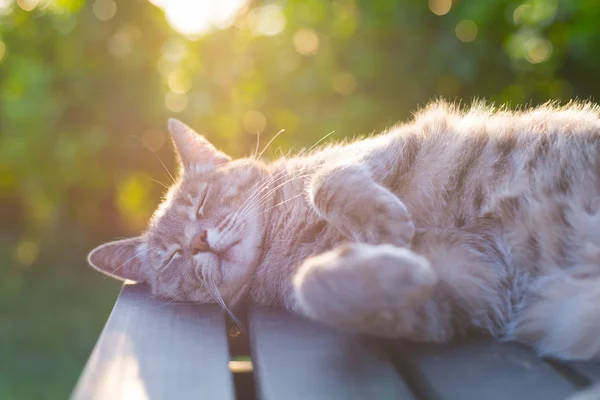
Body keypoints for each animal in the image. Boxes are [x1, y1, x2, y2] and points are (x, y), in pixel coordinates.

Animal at [85, 101, 600, 360]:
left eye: (202, 203)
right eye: (172, 257)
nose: (196, 242)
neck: (284, 239)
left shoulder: (379, 148)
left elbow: (326, 181)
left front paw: (383, 223)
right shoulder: (467, 290)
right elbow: (320, 287)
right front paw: (388, 267)